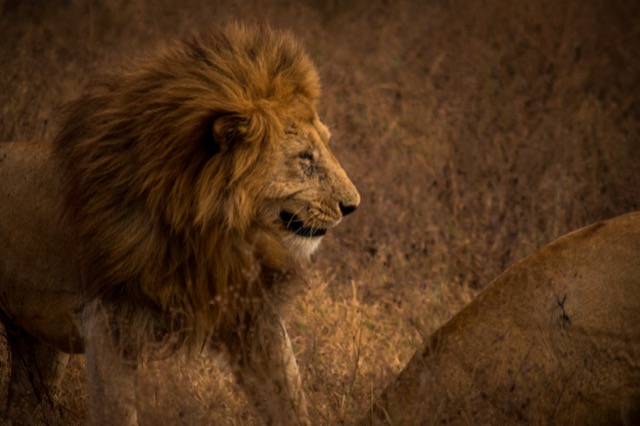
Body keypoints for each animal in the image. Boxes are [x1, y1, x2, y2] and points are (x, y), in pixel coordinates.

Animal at [0, 23, 360, 425]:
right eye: (304, 158)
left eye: (326, 145)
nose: (352, 206)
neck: (212, 233)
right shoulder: (109, 323)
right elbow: (118, 411)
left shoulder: (252, 314)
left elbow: (289, 398)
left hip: (37, 343)